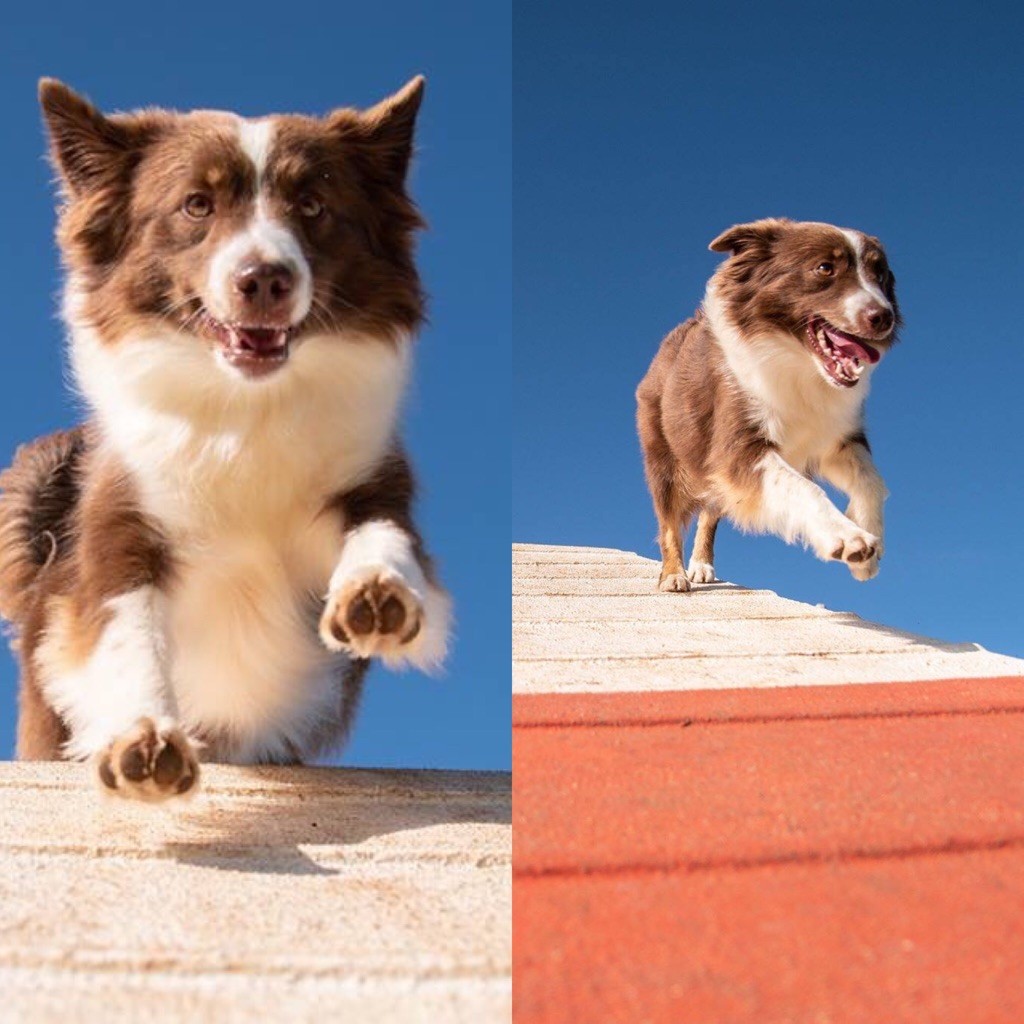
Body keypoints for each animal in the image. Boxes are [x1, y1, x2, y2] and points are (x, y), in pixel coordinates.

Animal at [0, 79, 450, 798]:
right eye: (196, 204)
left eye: (314, 205)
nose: (264, 279)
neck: (245, 407)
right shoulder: (119, 521)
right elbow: (128, 630)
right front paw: (142, 735)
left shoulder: (374, 477)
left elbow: (384, 533)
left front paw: (377, 590)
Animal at [634, 220, 901, 598]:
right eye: (825, 268)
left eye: (880, 275)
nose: (884, 317)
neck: (796, 361)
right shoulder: (738, 446)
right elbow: (805, 488)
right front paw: (849, 538)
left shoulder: (835, 437)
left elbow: (872, 480)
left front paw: (867, 553)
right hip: (666, 455)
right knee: (669, 519)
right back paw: (674, 574)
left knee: (710, 511)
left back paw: (701, 565)